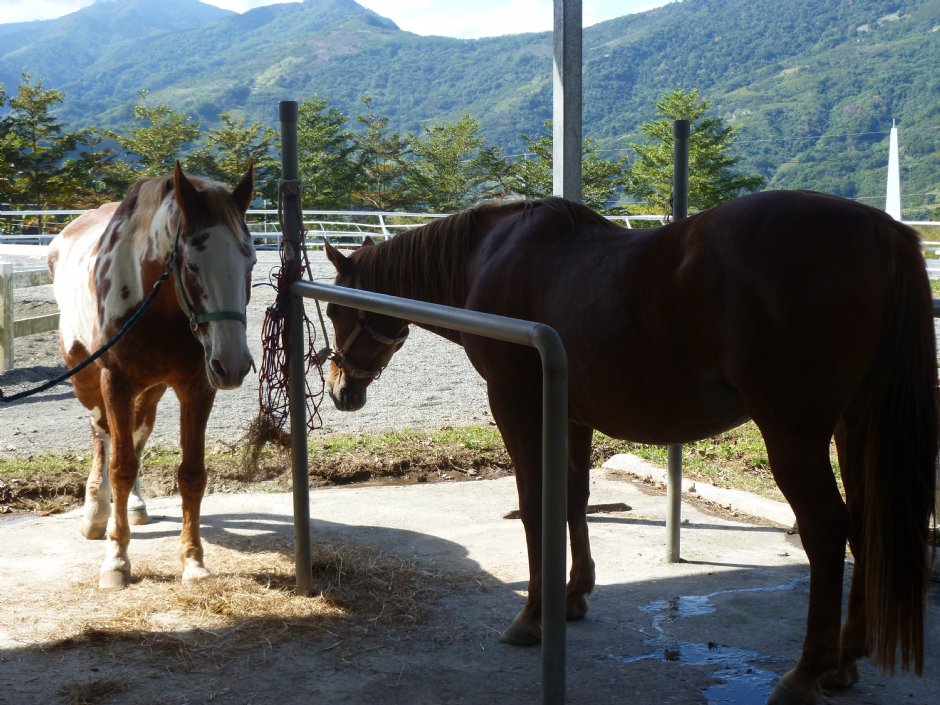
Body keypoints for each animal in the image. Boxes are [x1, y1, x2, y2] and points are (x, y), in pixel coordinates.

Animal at [48, 163, 256, 590]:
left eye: (251, 263)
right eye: (191, 265)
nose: (232, 364)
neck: (156, 303)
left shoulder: (196, 387)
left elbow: (191, 474)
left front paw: (193, 562)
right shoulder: (115, 382)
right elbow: (120, 467)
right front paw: (116, 561)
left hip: (152, 390)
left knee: (135, 435)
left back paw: (135, 506)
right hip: (86, 379)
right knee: (104, 438)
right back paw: (96, 512)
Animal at [321, 191, 937, 705]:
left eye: (333, 309)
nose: (340, 388)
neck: (489, 257)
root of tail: (881, 229)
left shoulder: (516, 404)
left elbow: (535, 504)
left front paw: (533, 616)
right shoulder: (570, 412)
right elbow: (573, 498)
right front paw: (574, 596)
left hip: (793, 431)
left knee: (828, 529)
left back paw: (805, 674)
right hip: (854, 426)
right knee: (866, 523)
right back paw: (844, 662)